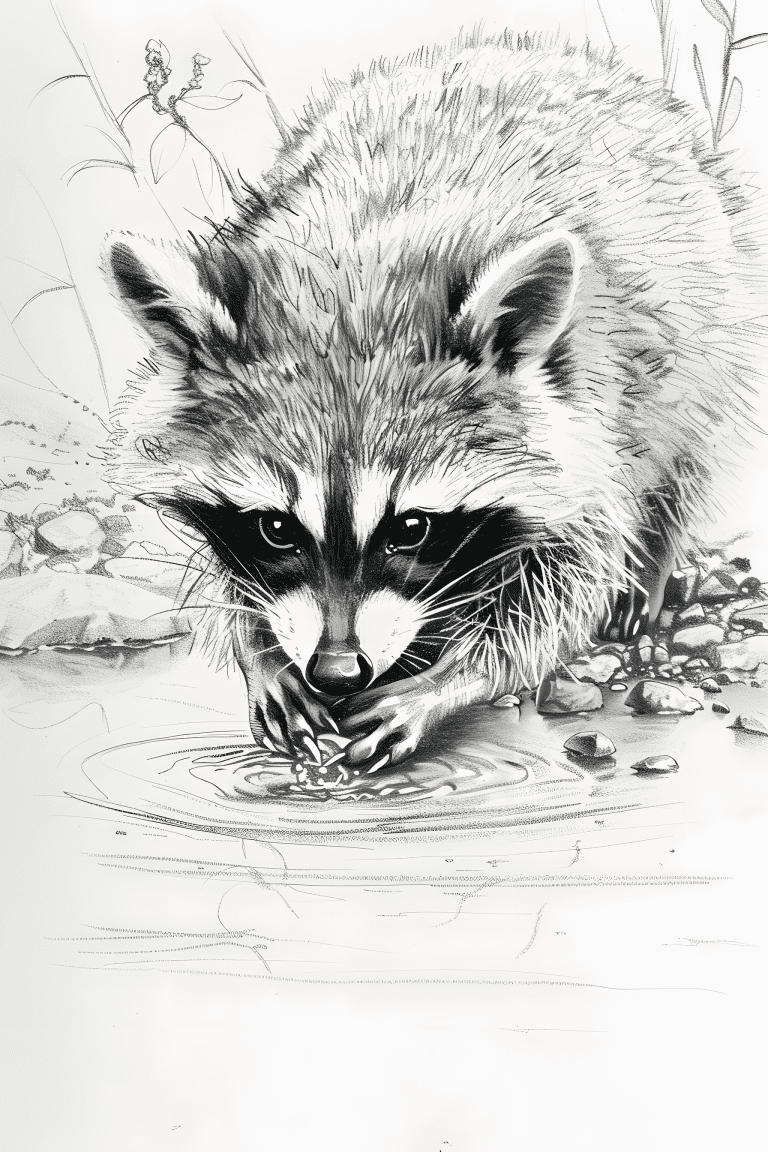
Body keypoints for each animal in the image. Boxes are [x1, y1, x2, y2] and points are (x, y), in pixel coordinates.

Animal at [105, 31, 764, 770]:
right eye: (276, 527)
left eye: (412, 527)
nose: (336, 671)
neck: (358, 280)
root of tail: (537, 53)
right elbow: (235, 576)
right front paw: (263, 652)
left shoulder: (585, 424)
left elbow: (558, 591)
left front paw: (450, 679)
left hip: (715, 334)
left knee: (684, 459)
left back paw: (650, 562)